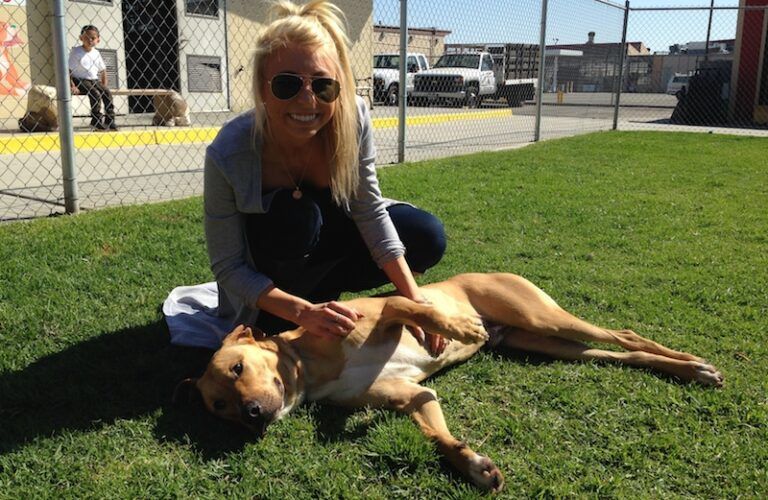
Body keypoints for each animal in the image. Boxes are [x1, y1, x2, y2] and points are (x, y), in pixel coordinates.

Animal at [177, 272, 724, 490]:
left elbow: (415, 307)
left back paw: (694, 363)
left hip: (543, 318)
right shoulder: (413, 396)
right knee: (618, 352)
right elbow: (436, 436)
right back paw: (685, 369)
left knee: (624, 333)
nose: (251, 416)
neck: (309, 365)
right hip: (545, 343)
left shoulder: (384, 310)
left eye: (238, 368)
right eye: (219, 408)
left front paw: (458, 329)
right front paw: (472, 464)